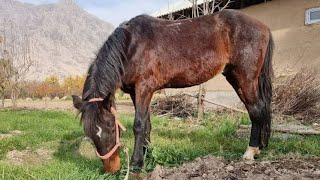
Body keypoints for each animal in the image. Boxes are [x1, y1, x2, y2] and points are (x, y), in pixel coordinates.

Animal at [72, 9, 272, 173]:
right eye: (90, 135)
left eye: (112, 129)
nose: (112, 169)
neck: (131, 45)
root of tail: (263, 26)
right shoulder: (135, 93)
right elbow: (147, 125)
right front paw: (148, 156)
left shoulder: (144, 88)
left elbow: (139, 125)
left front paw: (137, 163)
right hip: (234, 78)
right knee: (256, 110)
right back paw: (259, 148)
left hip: (245, 78)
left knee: (256, 110)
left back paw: (250, 152)